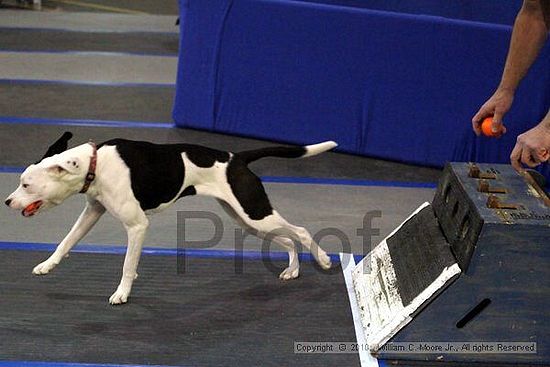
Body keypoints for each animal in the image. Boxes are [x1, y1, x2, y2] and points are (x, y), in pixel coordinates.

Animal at [5, 134, 336, 306]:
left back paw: (323, 260)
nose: (7, 202)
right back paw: (292, 270)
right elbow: (66, 241)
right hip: (248, 218)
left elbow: (127, 265)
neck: (95, 166)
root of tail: (237, 157)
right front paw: (47, 265)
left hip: (254, 211)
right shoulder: (92, 212)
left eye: (26, 185)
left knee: (300, 231)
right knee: (287, 239)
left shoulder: (137, 226)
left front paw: (122, 293)